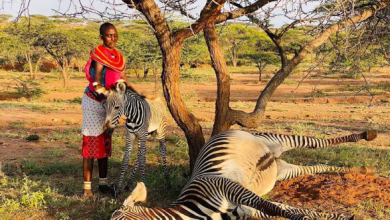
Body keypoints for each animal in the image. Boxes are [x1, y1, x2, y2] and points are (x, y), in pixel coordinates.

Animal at [110, 130, 374, 219]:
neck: (197, 210)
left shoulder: (226, 186)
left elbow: (275, 207)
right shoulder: (241, 212)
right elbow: (281, 209)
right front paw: (335, 216)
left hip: (276, 139)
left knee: (315, 142)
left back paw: (365, 134)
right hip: (283, 171)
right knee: (315, 168)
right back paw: (361, 170)